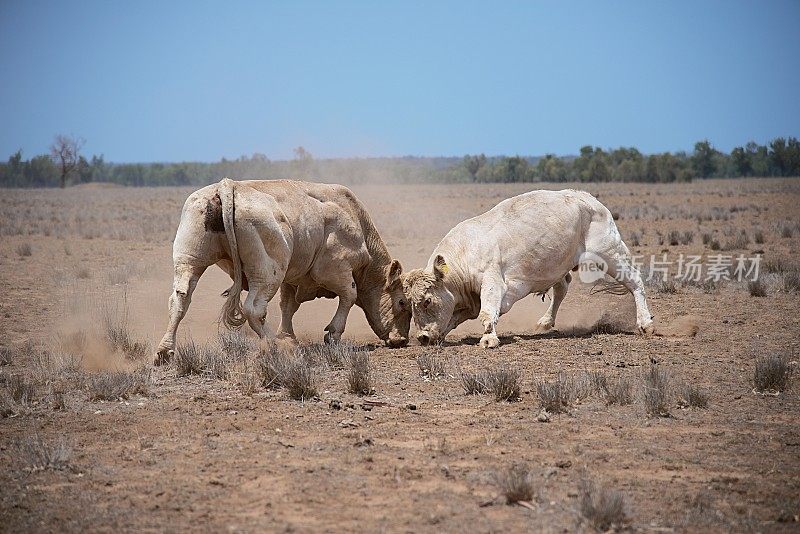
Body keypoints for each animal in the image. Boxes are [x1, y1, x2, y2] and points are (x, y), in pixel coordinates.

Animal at [404, 191, 652, 350]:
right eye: (409, 303)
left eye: (427, 300)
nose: (422, 337)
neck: (465, 254)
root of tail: (588, 198)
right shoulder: (468, 300)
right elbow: (454, 318)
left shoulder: (493, 282)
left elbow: (487, 313)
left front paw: (489, 340)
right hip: (557, 265)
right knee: (562, 288)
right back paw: (545, 321)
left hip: (609, 252)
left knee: (635, 281)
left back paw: (645, 323)